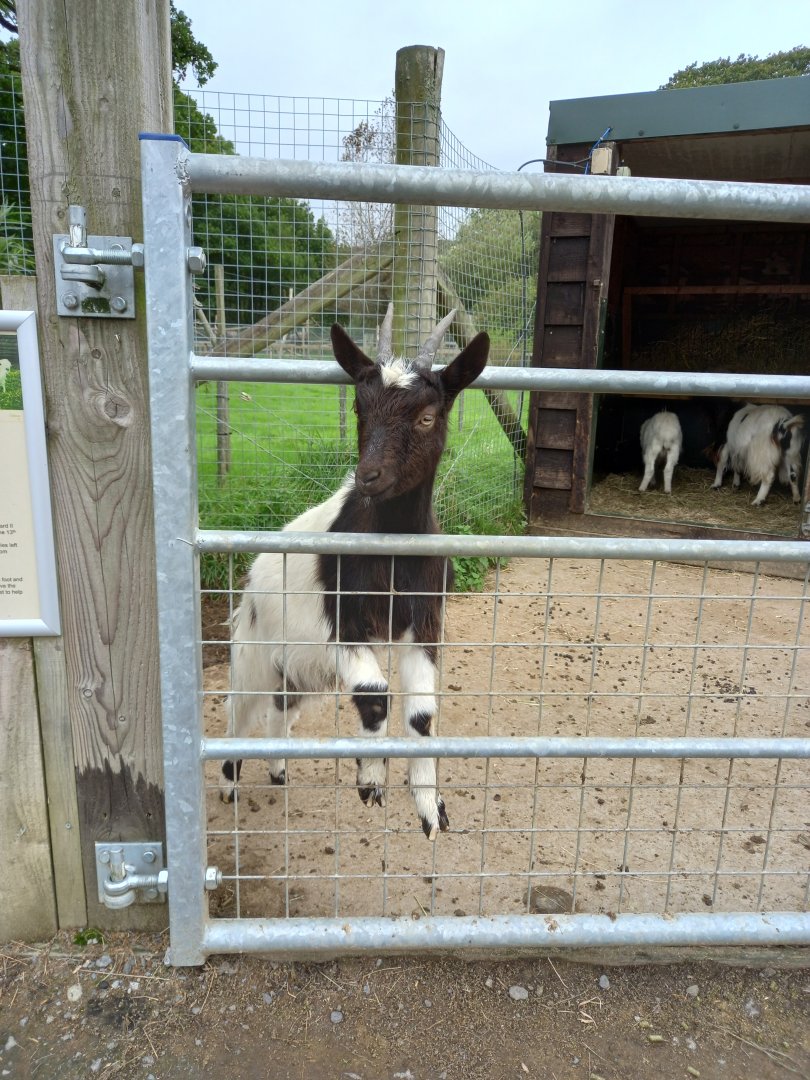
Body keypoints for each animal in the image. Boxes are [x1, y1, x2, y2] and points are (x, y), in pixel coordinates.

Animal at [220, 306, 490, 839]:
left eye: (427, 416)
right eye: (361, 411)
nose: (369, 477)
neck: (393, 551)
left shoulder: (424, 618)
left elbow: (422, 714)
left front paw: (430, 808)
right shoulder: (344, 619)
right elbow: (375, 695)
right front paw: (371, 779)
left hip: (299, 664)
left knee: (281, 706)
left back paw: (278, 771)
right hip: (254, 648)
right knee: (238, 709)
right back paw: (228, 785)